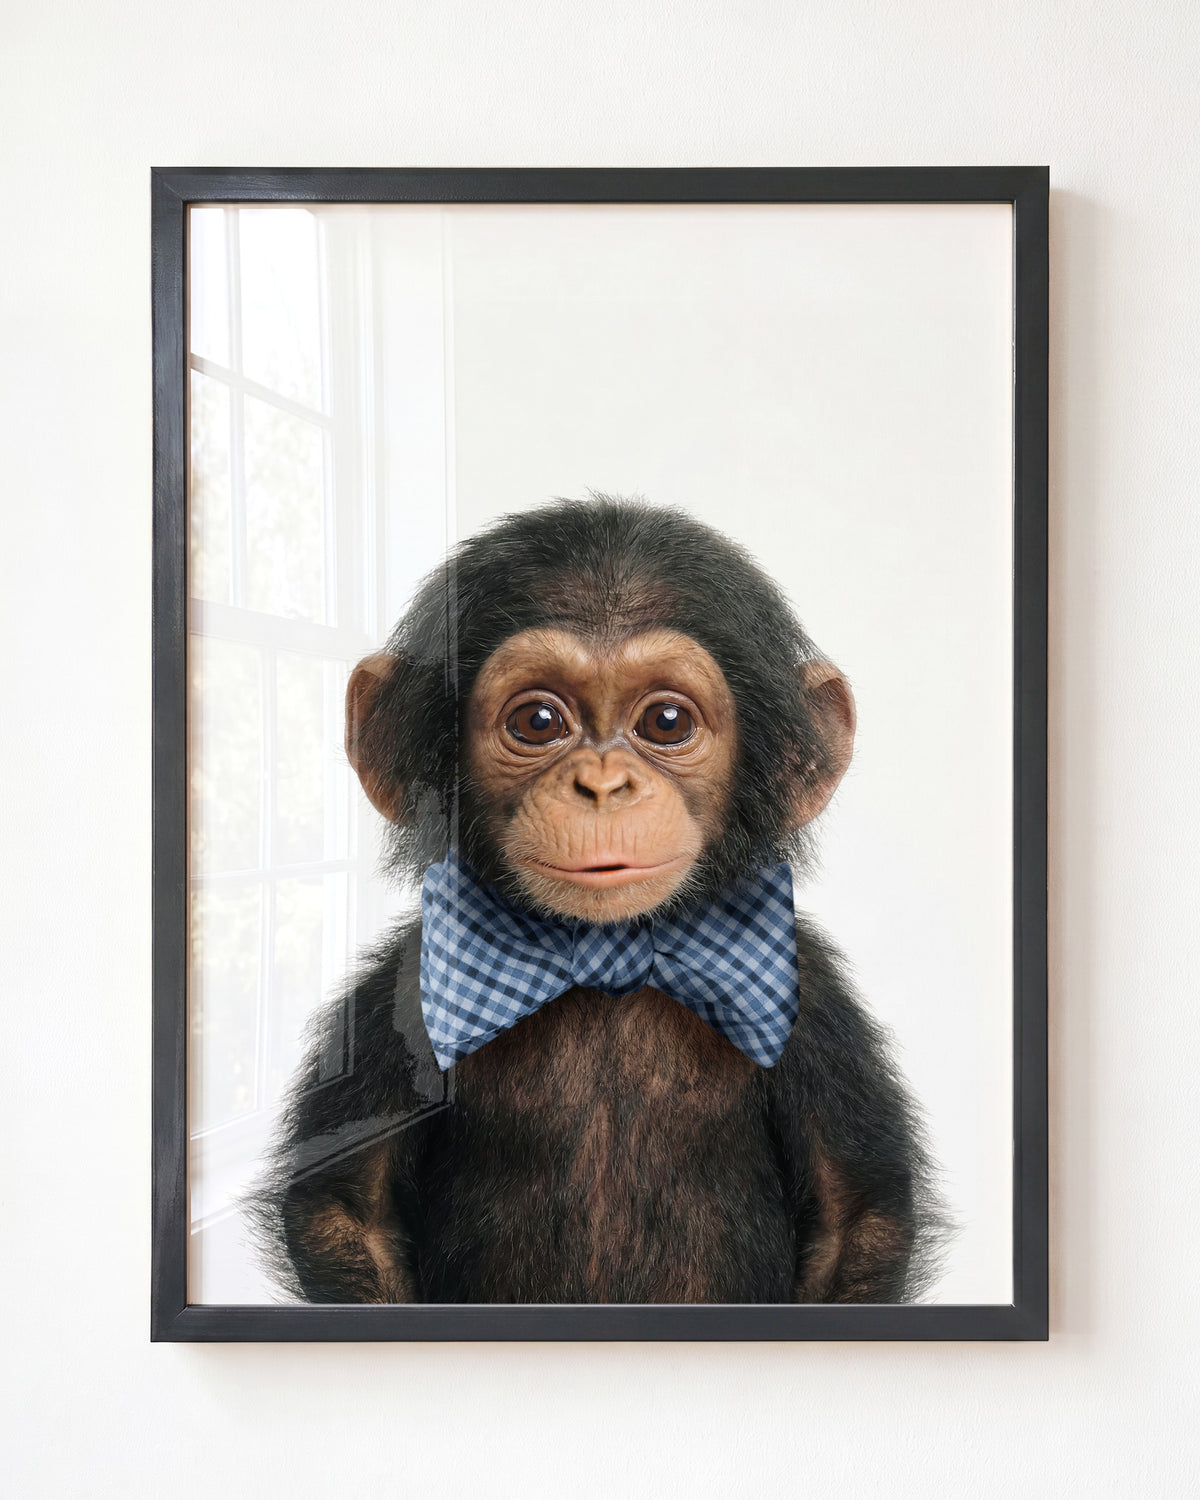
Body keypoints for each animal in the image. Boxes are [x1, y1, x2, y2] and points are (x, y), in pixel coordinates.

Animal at [253, 496, 946, 1304]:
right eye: (538, 722)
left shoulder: (815, 1003)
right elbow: (345, 1208)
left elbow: (855, 1216)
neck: (605, 956)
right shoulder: (400, 988)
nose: (603, 784)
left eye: (666, 722)